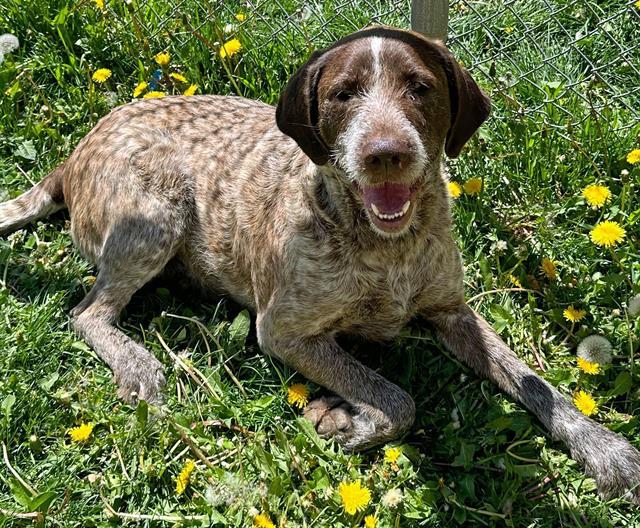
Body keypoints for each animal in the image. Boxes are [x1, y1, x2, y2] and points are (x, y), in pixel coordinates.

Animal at [0, 25, 636, 504]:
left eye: (420, 87)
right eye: (343, 94)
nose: (386, 154)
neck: (384, 245)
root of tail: (74, 154)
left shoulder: (452, 311)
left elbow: (537, 385)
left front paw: (603, 448)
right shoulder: (283, 332)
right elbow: (397, 399)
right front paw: (346, 420)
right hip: (158, 211)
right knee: (88, 313)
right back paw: (137, 364)